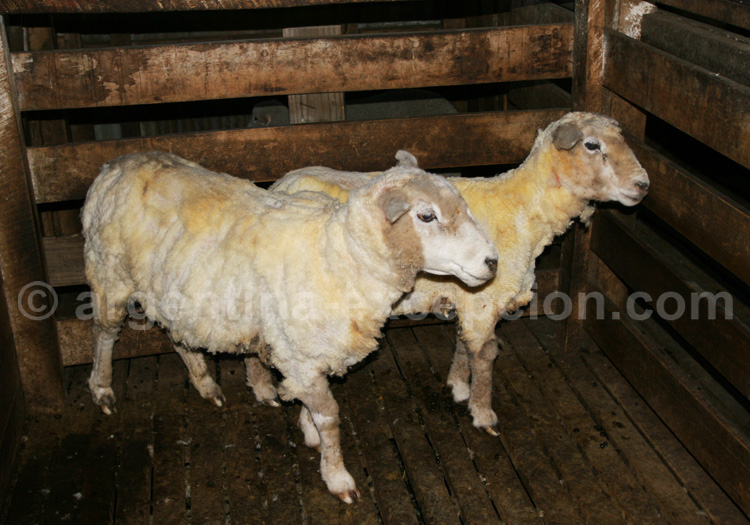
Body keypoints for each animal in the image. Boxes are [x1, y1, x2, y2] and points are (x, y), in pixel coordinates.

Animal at [81, 151, 498, 503]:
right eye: (426, 216)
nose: (492, 261)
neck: (339, 255)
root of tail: (118, 163)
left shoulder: (308, 354)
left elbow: (311, 403)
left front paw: (308, 430)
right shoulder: (301, 353)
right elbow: (329, 416)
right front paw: (337, 475)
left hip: (172, 290)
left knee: (179, 337)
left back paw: (206, 384)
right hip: (109, 272)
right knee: (104, 334)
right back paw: (102, 389)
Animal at [270, 112, 650, 435]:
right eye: (592, 145)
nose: (643, 185)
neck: (522, 210)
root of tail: (279, 184)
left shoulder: (469, 298)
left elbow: (463, 344)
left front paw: (458, 386)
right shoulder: (483, 301)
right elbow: (484, 355)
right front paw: (483, 413)